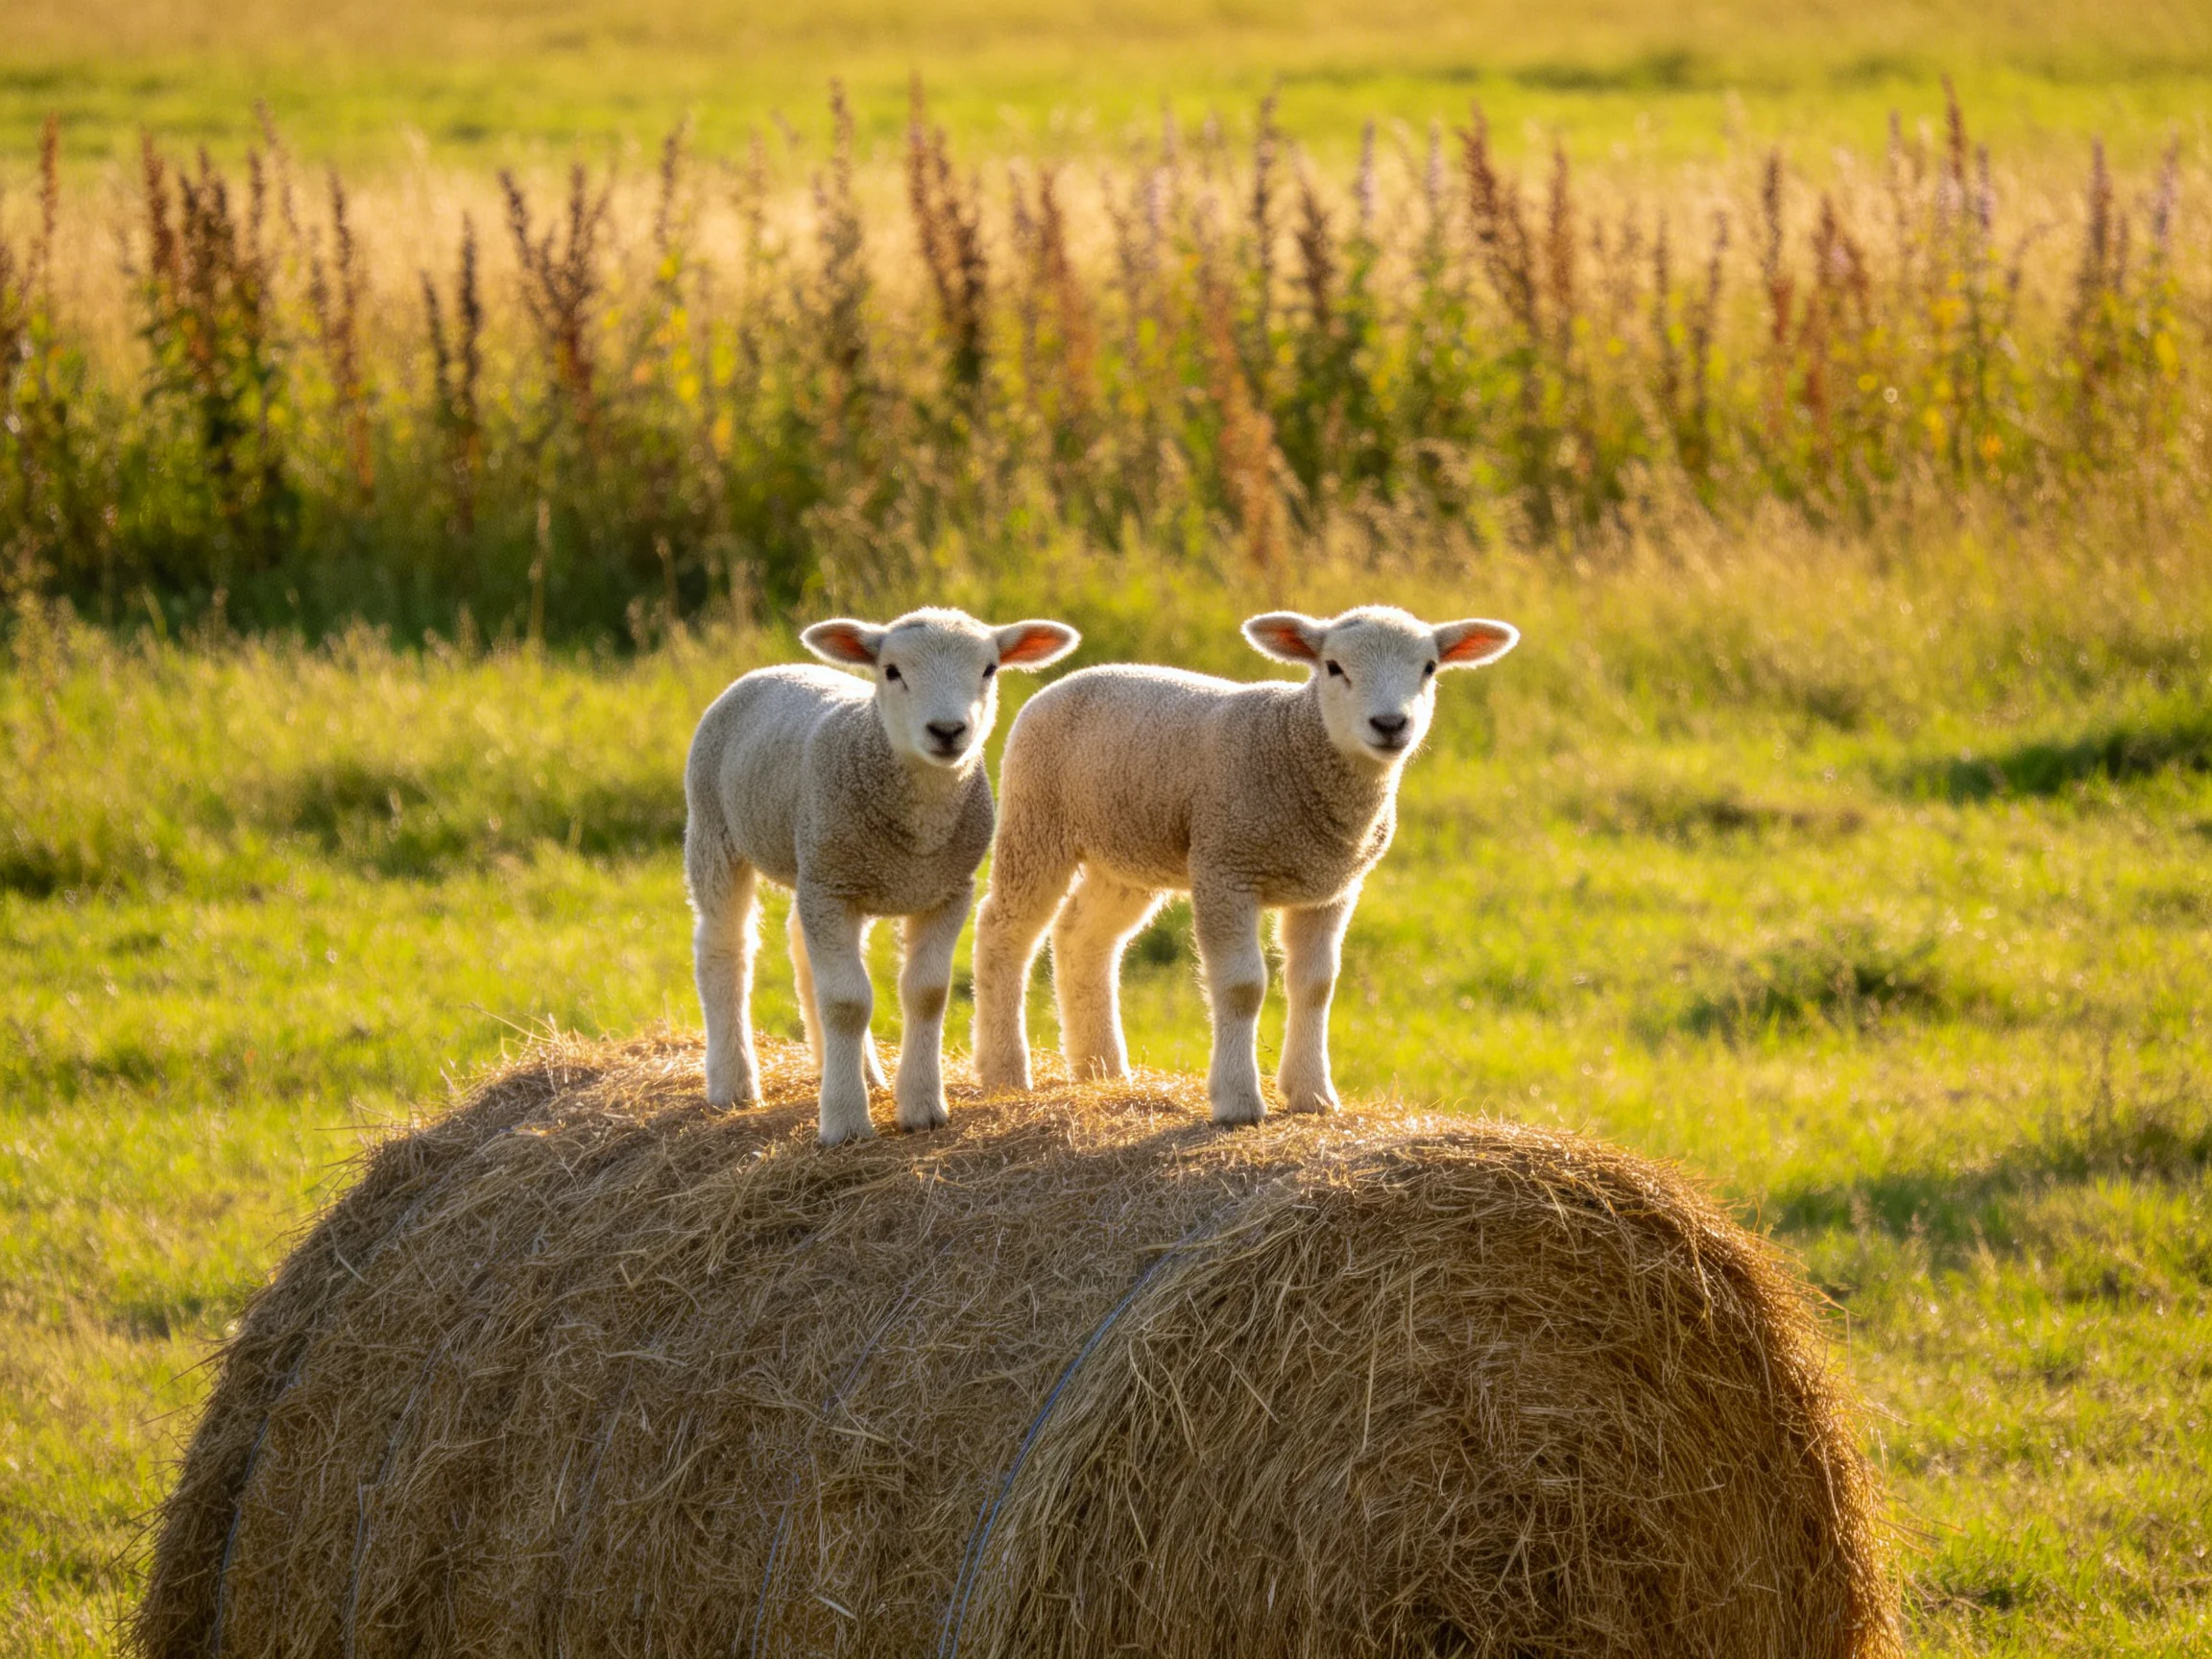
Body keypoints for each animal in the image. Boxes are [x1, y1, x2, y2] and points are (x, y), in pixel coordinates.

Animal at [685, 608, 1080, 1146]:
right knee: (724, 951)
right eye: (892, 671)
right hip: (716, 831)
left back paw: (857, 1070)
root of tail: (774, 668)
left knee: (801, 949)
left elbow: (927, 994)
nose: (947, 730)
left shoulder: (943, 890)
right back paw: (733, 1083)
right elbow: (848, 1002)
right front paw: (846, 1121)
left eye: (989, 670)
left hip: (825, 867)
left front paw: (922, 1106)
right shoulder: (834, 890)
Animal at [972, 605, 1517, 1126]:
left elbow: (1316, 985)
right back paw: (1005, 1072)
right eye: (1333, 667)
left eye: (1429, 668)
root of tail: (1071, 679)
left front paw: (1313, 1094)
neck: (1295, 744)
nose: (1389, 725)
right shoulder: (1225, 867)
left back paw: (1101, 1070)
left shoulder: (1330, 889)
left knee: (1082, 937)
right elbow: (1241, 987)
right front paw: (1237, 1102)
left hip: (1127, 853)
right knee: (1004, 928)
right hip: (1037, 821)